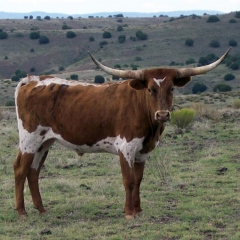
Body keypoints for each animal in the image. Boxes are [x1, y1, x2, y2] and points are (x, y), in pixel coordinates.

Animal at [13, 48, 231, 219]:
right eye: (150, 89)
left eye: (171, 89)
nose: (162, 114)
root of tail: (30, 80)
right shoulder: (126, 148)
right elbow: (129, 180)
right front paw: (129, 212)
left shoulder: (143, 151)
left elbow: (139, 180)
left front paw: (138, 209)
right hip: (30, 139)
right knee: (20, 170)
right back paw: (22, 212)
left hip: (44, 142)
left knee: (33, 172)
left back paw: (41, 210)